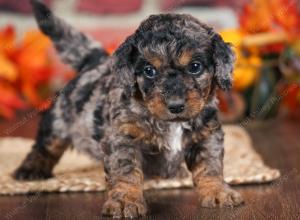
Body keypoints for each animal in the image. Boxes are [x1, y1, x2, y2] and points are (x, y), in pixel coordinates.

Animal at [14, 0, 244, 218]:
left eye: (195, 67)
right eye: (149, 71)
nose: (176, 105)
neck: (170, 124)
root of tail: (98, 61)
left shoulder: (208, 134)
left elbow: (210, 166)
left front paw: (217, 191)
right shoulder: (123, 137)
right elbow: (126, 171)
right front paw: (126, 201)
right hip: (59, 119)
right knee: (46, 145)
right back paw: (30, 169)